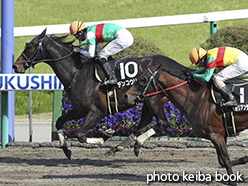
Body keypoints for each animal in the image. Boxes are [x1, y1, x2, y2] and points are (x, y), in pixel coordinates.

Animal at [12, 29, 171, 160]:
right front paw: (66, 150)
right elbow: (59, 122)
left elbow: (80, 135)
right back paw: (127, 147)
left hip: (154, 99)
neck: (76, 72)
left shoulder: (97, 112)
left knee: (160, 123)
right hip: (147, 101)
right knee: (144, 125)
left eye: (30, 46)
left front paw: (105, 135)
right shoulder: (79, 110)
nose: (15, 66)